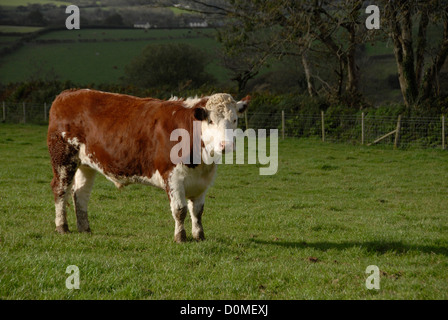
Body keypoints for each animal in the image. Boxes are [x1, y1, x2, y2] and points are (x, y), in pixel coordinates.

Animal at [47, 88, 250, 242]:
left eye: (234, 120)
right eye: (211, 121)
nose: (226, 145)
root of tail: (68, 93)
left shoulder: (202, 182)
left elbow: (197, 211)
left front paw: (199, 236)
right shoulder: (172, 177)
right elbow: (180, 210)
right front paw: (181, 237)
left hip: (86, 164)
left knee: (80, 194)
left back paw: (85, 228)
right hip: (63, 158)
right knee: (61, 190)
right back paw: (62, 227)